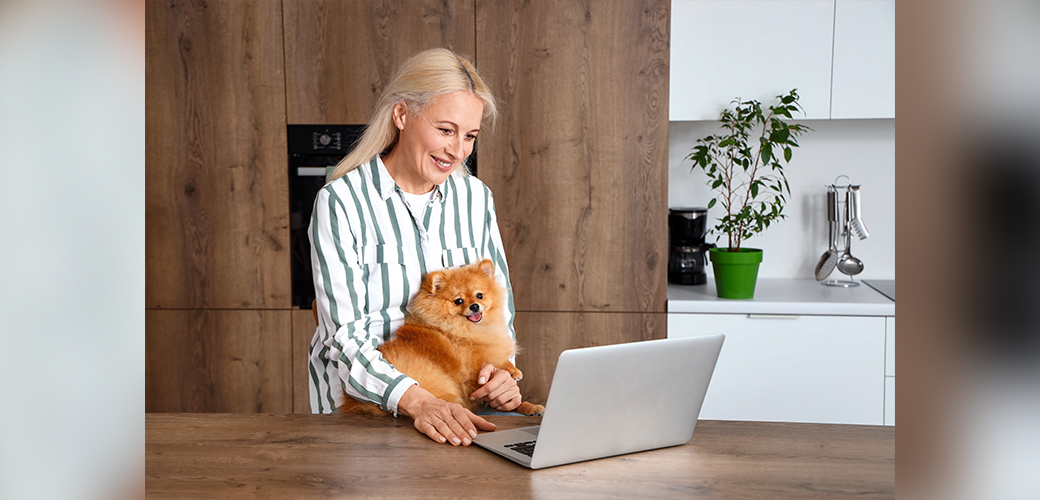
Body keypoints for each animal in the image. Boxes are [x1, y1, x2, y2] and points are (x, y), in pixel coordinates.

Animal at [339, 258, 544, 415]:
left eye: (480, 295)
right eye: (458, 301)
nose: (475, 306)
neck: (463, 330)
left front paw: (521, 389)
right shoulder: (472, 377)